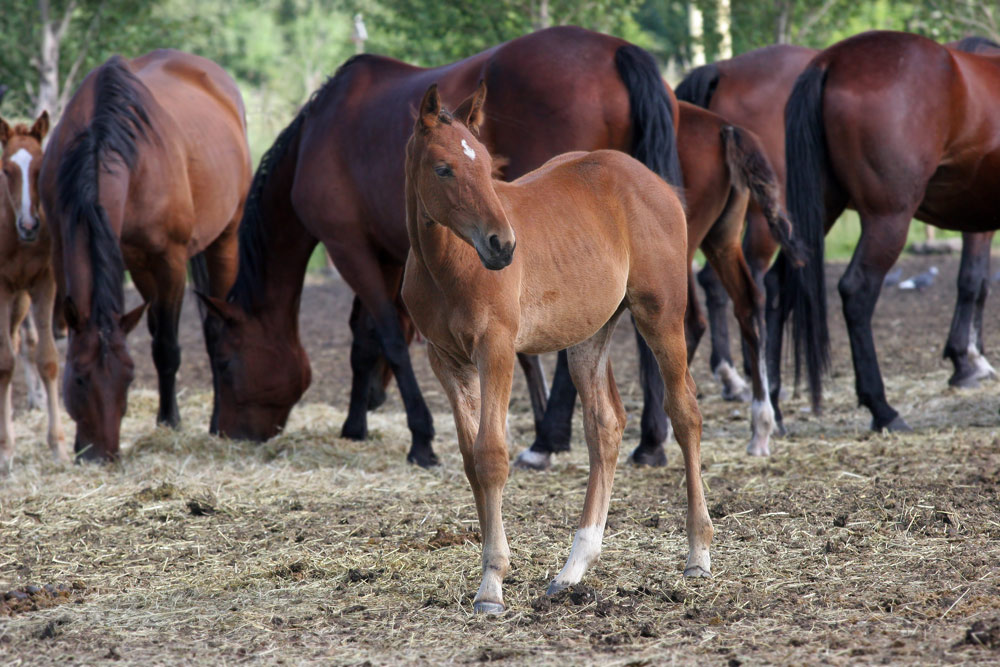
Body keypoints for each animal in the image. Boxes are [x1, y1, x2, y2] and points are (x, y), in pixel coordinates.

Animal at [39, 51, 252, 460]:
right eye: (79, 378)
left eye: (128, 378)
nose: (99, 455)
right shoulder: (64, 251)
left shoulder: (169, 262)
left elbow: (166, 347)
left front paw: (169, 423)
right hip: (139, 265)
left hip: (225, 240)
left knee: (218, 328)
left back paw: (219, 420)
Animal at [203, 24, 688, 464]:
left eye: (224, 362)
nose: (225, 431)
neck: (316, 134)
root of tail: (618, 49)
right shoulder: (386, 255)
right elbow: (366, 339)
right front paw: (357, 423)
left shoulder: (348, 247)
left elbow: (388, 338)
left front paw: (419, 438)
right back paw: (648, 443)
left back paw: (548, 439)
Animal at [402, 85, 716, 616]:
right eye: (443, 168)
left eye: (487, 164)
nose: (502, 245)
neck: (447, 266)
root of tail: (655, 184)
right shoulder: (445, 360)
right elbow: (470, 459)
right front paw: (492, 573)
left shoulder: (496, 348)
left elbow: (491, 455)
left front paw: (491, 585)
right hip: (589, 335)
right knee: (605, 426)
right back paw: (574, 568)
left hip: (660, 314)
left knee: (684, 412)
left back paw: (697, 554)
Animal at [784, 30, 1000, 434]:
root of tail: (831, 60)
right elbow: (974, 283)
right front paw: (968, 362)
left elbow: (973, 281)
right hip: (889, 219)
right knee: (857, 290)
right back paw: (882, 408)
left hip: (816, 212)